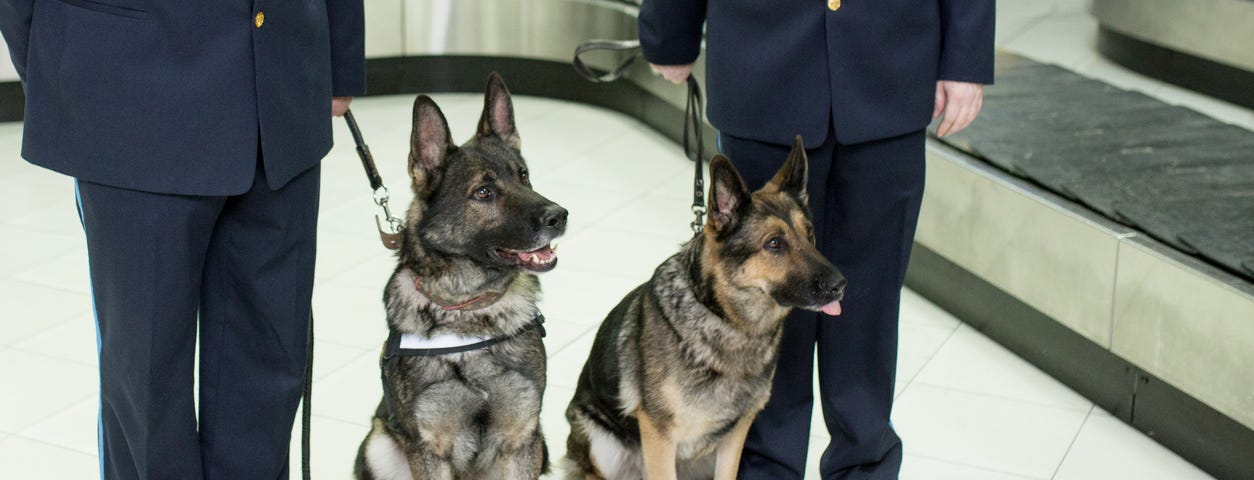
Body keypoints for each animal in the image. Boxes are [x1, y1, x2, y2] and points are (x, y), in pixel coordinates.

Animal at [356, 72, 566, 480]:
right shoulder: (429, 449)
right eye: (483, 192)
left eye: (523, 176)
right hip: (377, 445)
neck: (470, 311)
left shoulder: (523, 440)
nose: (559, 216)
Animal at [564, 137, 847, 478]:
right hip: (604, 446)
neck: (727, 322)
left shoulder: (736, 434)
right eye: (774, 244)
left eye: (810, 234)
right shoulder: (659, 436)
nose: (840, 284)